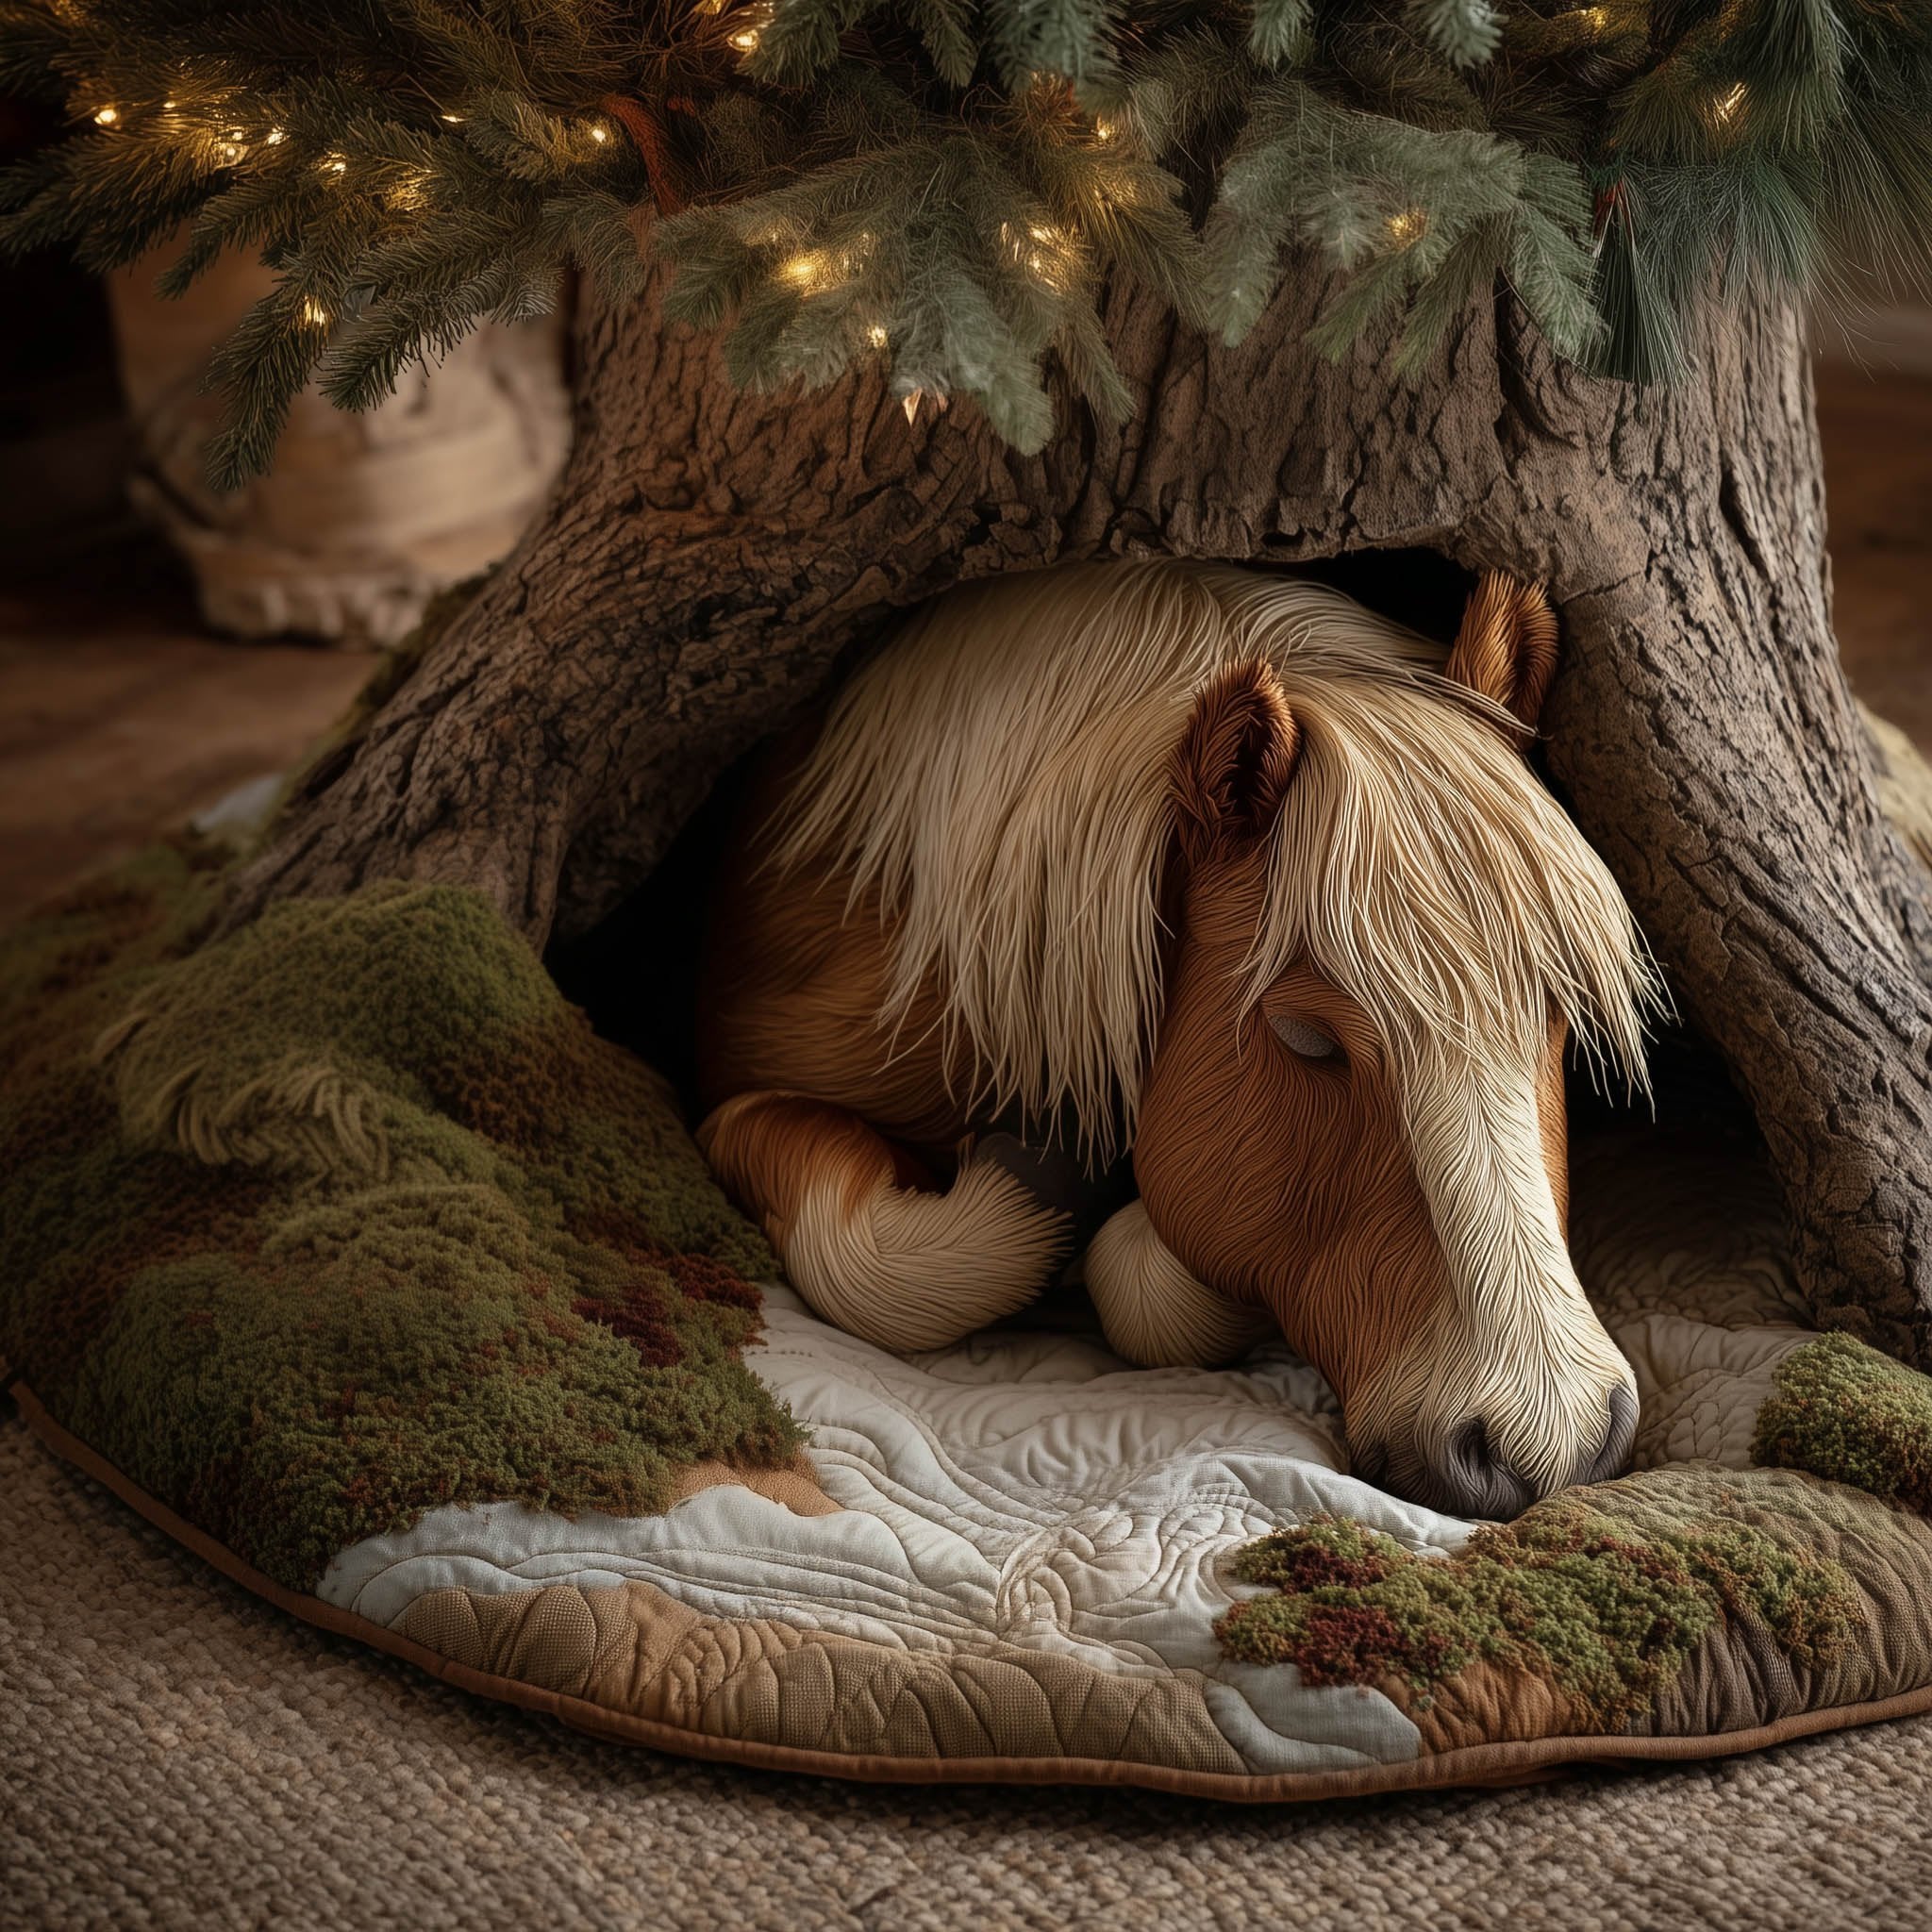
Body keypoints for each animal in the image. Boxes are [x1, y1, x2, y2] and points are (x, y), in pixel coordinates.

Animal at [693, 559, 1662, 1519]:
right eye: (1305, 1036)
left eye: (1559, 1007)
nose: (1556, 1439)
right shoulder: (737, 1103)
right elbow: (872, 1271)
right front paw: (1044, 1174)